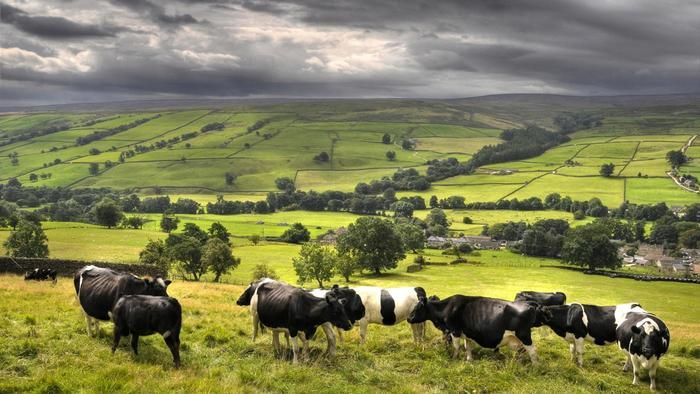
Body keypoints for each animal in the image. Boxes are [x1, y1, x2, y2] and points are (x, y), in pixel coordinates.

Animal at [408, 296, 540, 364]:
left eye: (418, 307)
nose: (409, 318)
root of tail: (529, 305)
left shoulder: (455, 331)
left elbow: (456, 347)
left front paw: (454, 359)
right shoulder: (468, 333)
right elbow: (468, 347)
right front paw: (469, 360)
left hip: (524, 335)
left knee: (533, 351)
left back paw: (535, 367)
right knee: (523, 350)